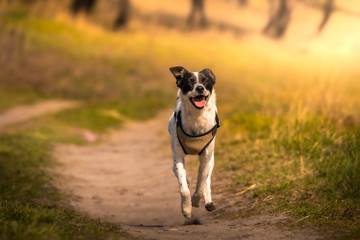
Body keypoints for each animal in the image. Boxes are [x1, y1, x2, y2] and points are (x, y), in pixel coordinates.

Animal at [168, 66, 219, 220]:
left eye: (206, 80)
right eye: (189, 82)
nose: (200, 88)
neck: (197, 117)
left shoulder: (206, 159)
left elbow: (201, 184)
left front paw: (196, 201)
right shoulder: (178, 158)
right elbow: (183, 188)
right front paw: (186, 209)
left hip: (211, 160)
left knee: (206, 180)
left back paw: (208, 202)